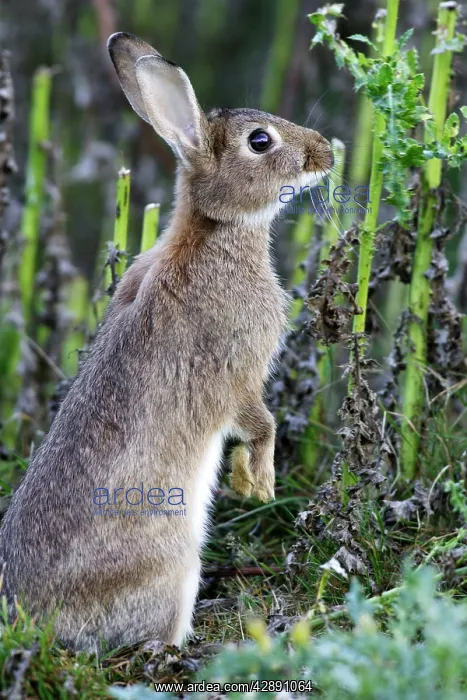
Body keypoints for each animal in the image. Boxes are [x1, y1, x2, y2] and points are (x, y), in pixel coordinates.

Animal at [0, 32, 333, 654]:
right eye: (260, 141)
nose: (325, 152)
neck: (214, 231)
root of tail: (32, 619)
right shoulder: (238, 368)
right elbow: (259, 423)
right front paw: (258, 484)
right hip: (174, 566)